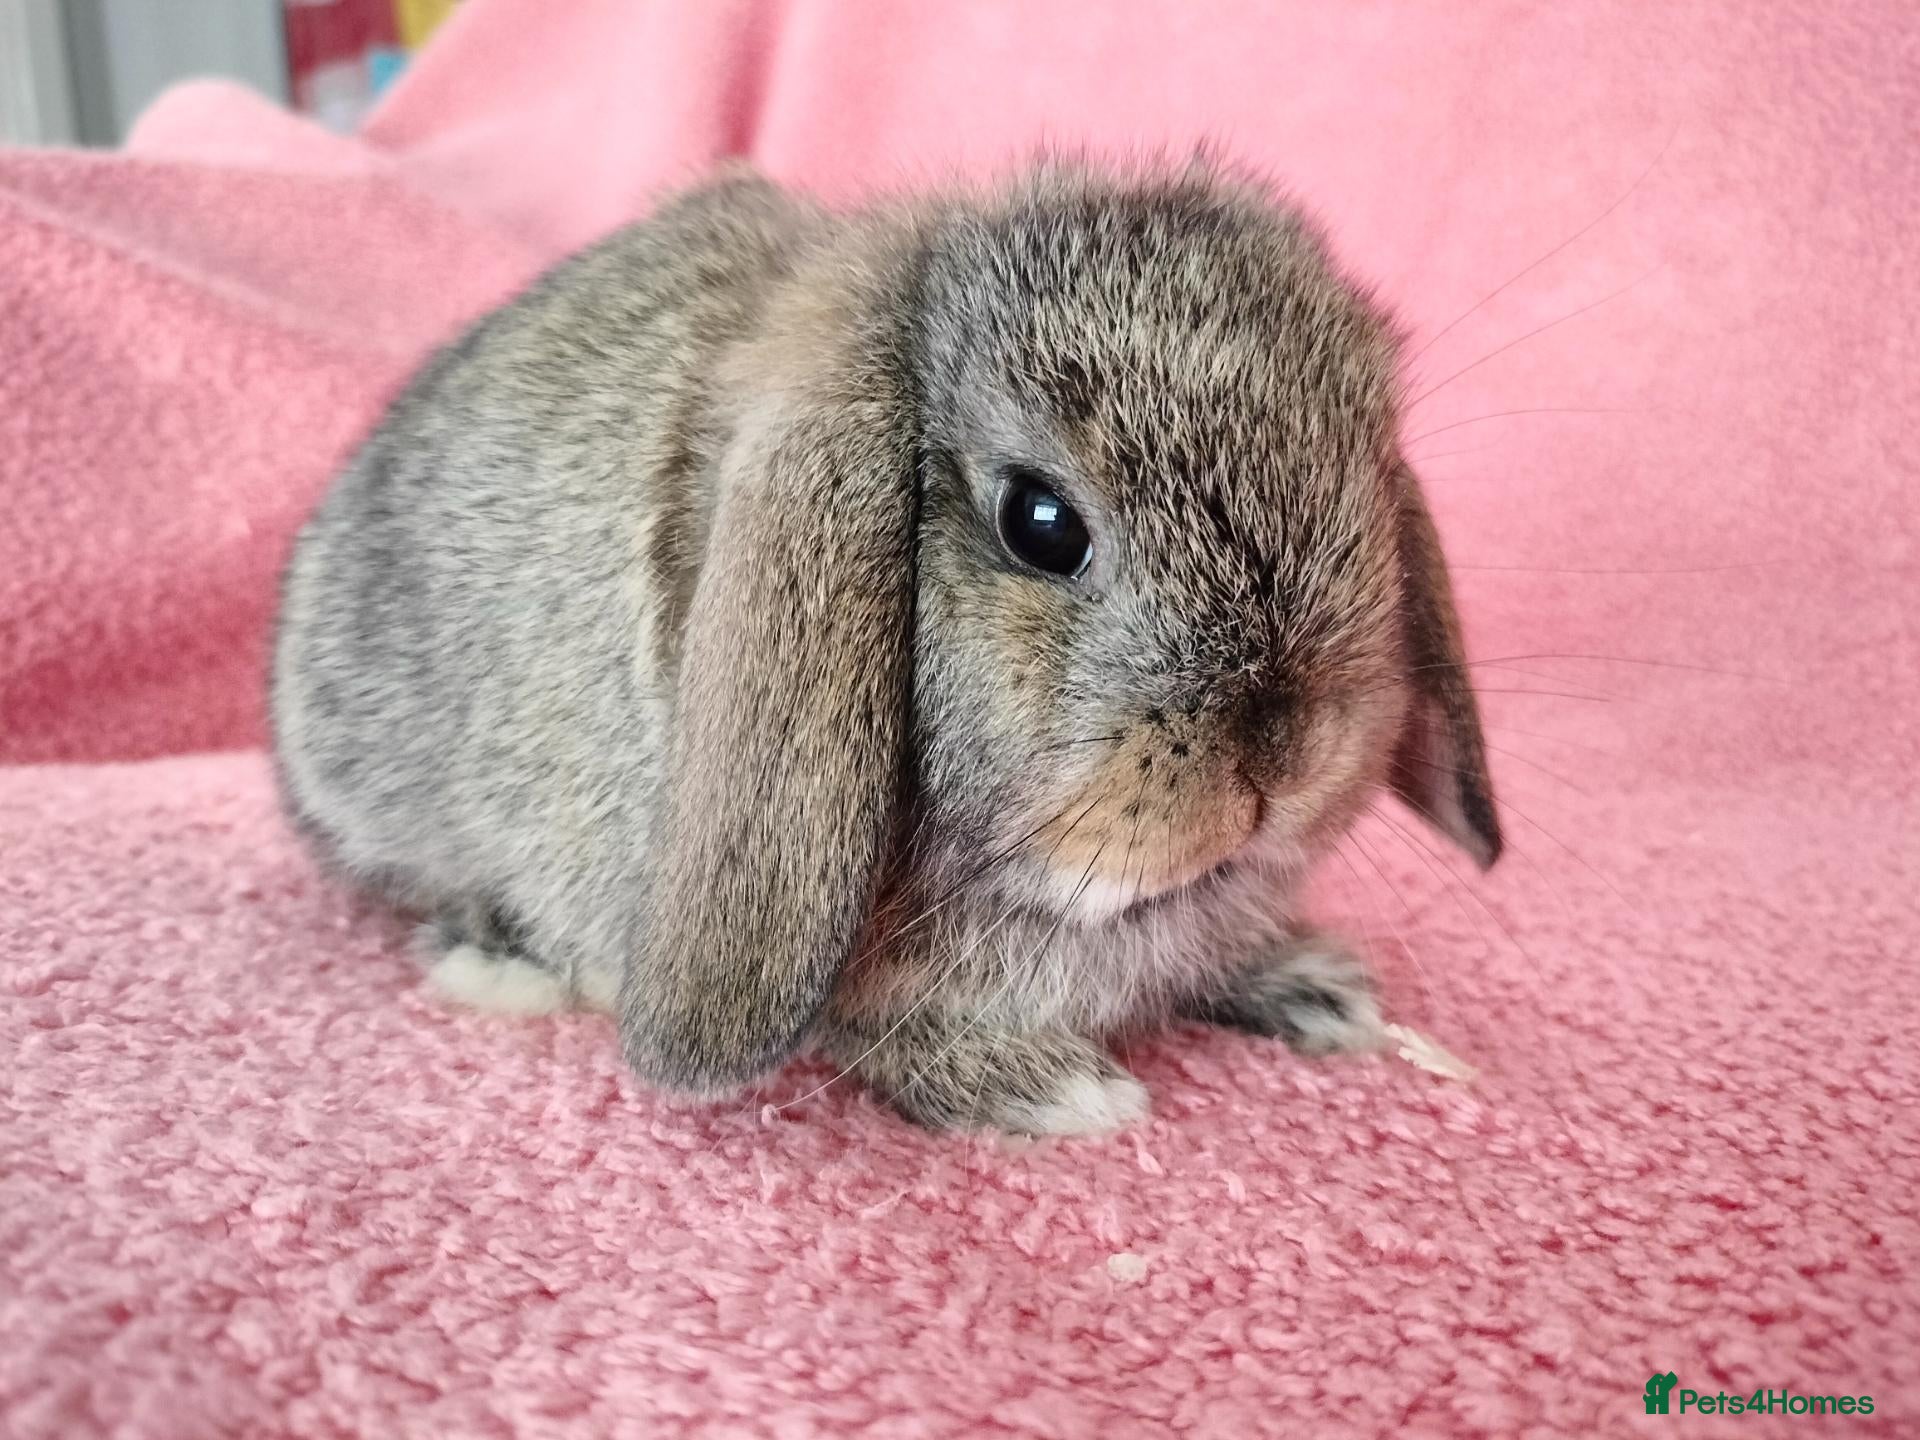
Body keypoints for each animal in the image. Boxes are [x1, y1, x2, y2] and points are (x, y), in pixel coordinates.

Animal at [271, 156, 1501, 1136]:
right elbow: (864, 1036)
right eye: (1040, 523)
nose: (1288, 751)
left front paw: (1312, 985)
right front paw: (1050, 1091)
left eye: (1367, 474)